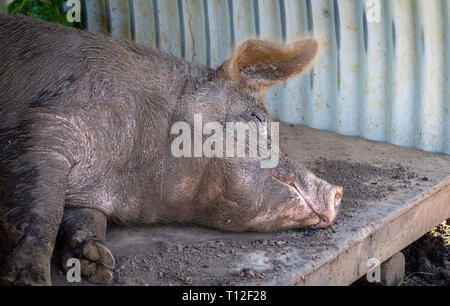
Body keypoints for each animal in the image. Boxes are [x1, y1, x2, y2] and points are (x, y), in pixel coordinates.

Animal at [0, 14, 342, 286]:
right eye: (257, 117)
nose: (338, 191)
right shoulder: (44, 127)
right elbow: (42, 213)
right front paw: (31, 280)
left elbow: (84, 217)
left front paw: (98, 262)